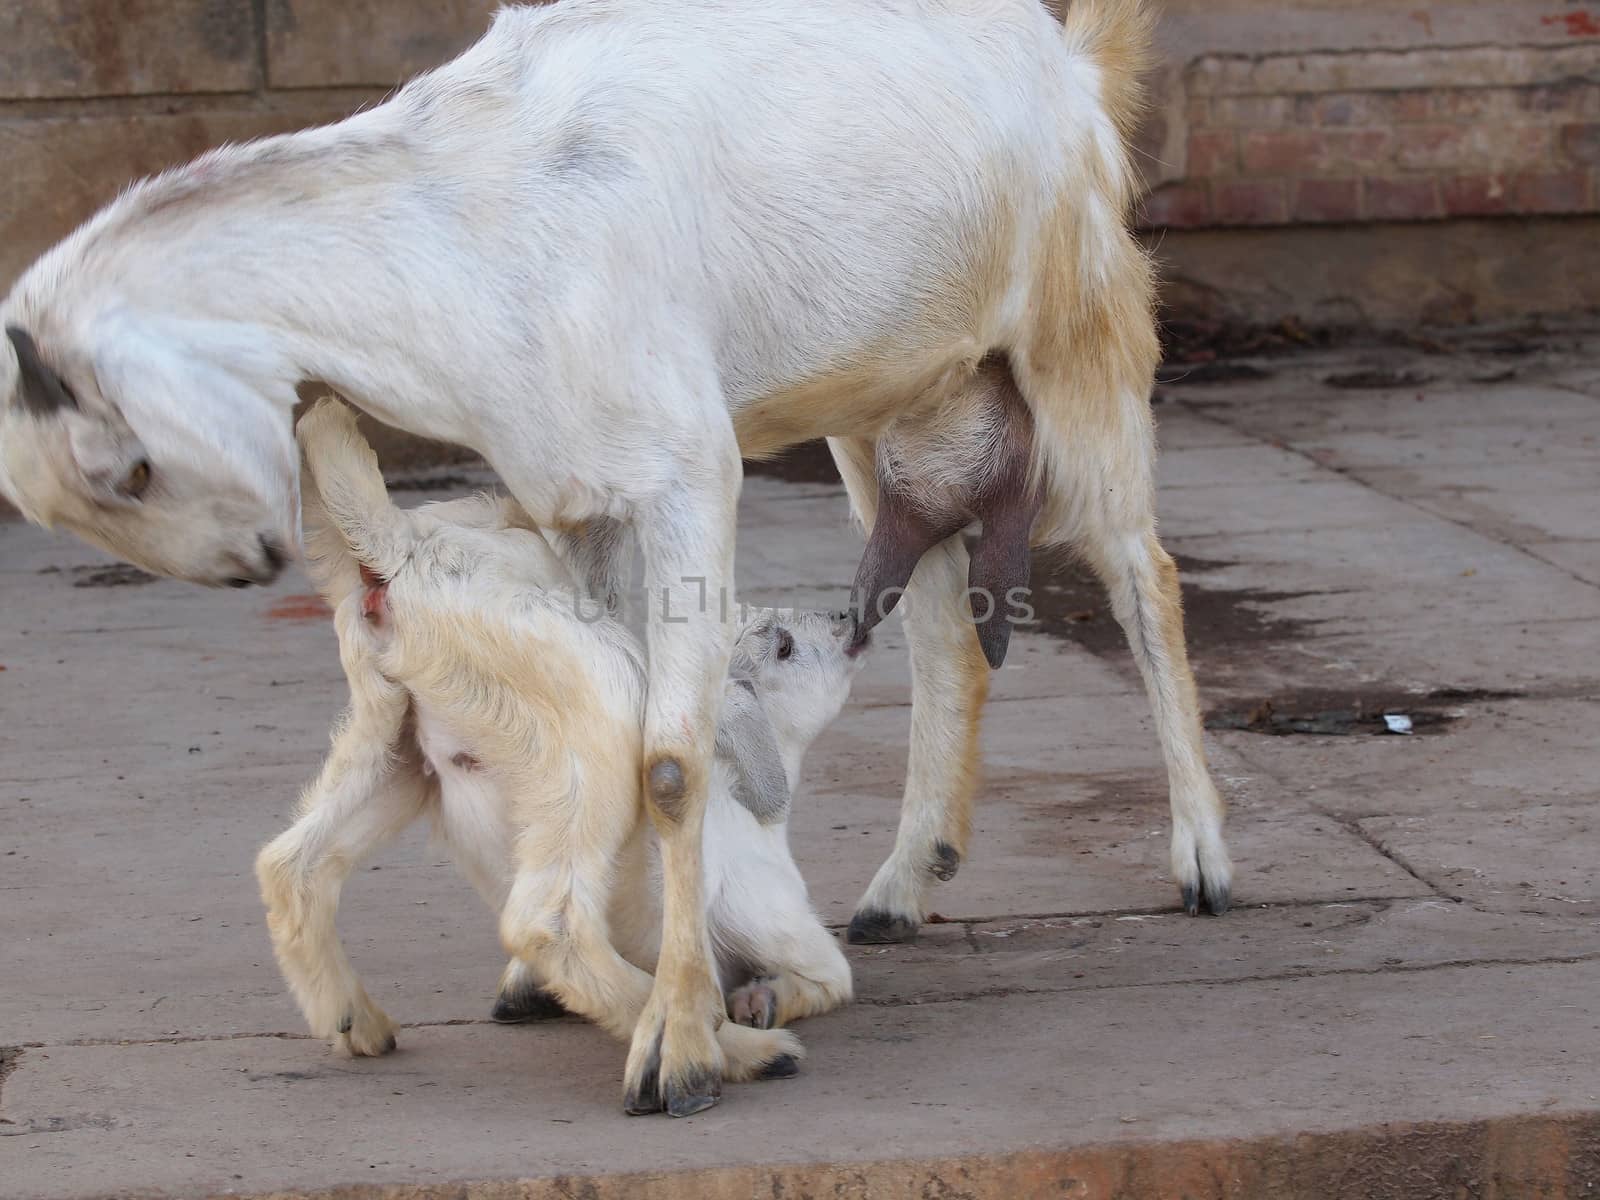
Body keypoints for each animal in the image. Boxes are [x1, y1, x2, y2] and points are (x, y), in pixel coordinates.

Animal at [259, 401, 864, 1088]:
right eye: (783, 645)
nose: (846, 617)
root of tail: (407, 549)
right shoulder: (778, 921)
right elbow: (828, 977)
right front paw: (758, 1003)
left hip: (391, 735)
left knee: (291, 863)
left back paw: (353, 1018)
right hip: (598, 711)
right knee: (547, 923)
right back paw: (722, 1052)